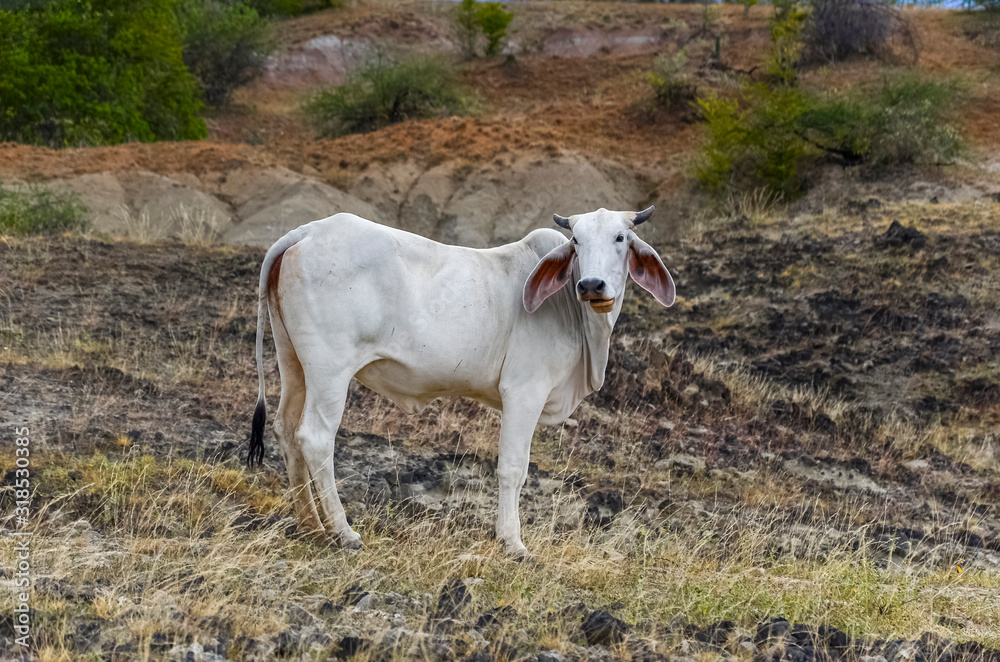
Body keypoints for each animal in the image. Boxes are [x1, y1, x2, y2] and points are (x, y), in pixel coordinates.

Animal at [248, 206, 680, 556]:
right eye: (577, 240)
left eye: (621, 238)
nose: (591, 285)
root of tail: (307, 231)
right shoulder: (524, 392)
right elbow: (513, 468)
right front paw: (512, 542)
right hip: (330, 370)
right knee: (315, 437)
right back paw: (342, 531)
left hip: (293, 362)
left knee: (286, 429)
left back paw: (311, 526)